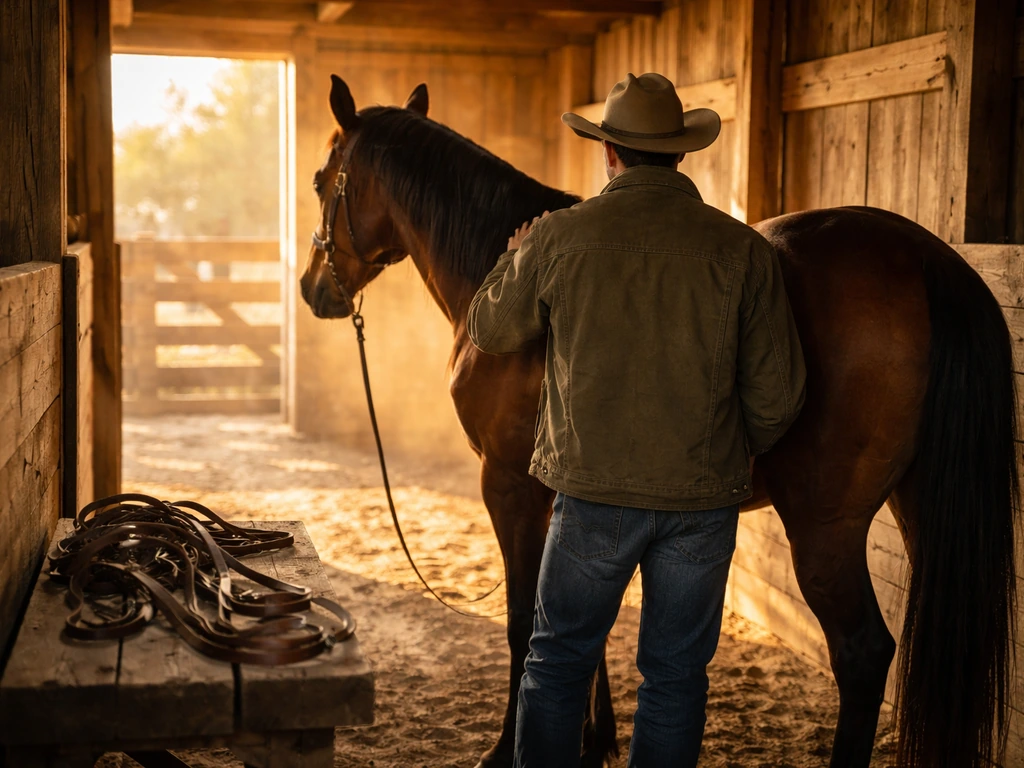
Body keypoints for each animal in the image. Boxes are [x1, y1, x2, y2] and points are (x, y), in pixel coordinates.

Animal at [299, 75, 1019, 768]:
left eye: (318, 180)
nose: (312, 288)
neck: (493, 267)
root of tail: (925, 260)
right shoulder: (574, 492)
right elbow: (586, 625)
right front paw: (593, 741)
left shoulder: (508, 484)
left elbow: (524, 622)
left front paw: (507, 749)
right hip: (917, 505)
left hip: (826, 527)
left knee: (863, 653)